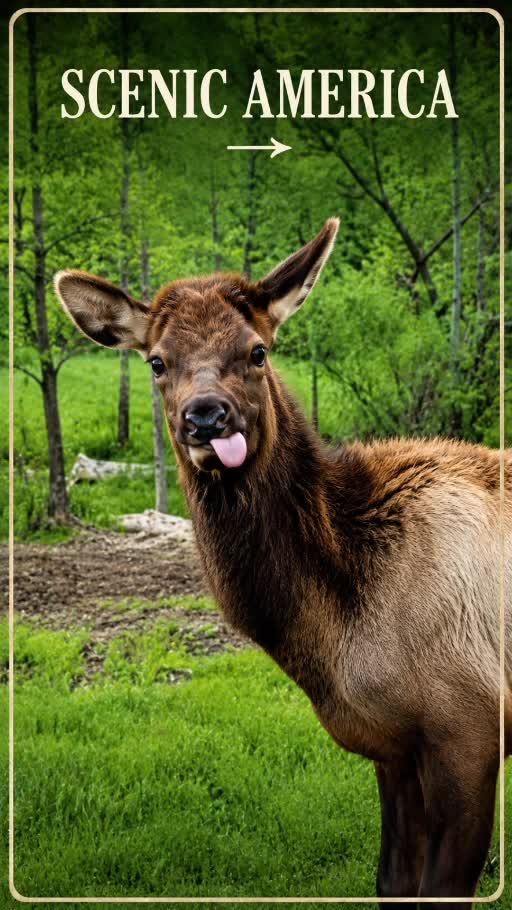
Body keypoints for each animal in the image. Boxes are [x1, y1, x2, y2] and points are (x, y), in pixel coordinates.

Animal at [55, 218, 511, 907]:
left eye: (257, 351)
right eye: (157, 360)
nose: (205, 416)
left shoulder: (471, 726)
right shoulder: (393, 748)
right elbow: (391, 880)